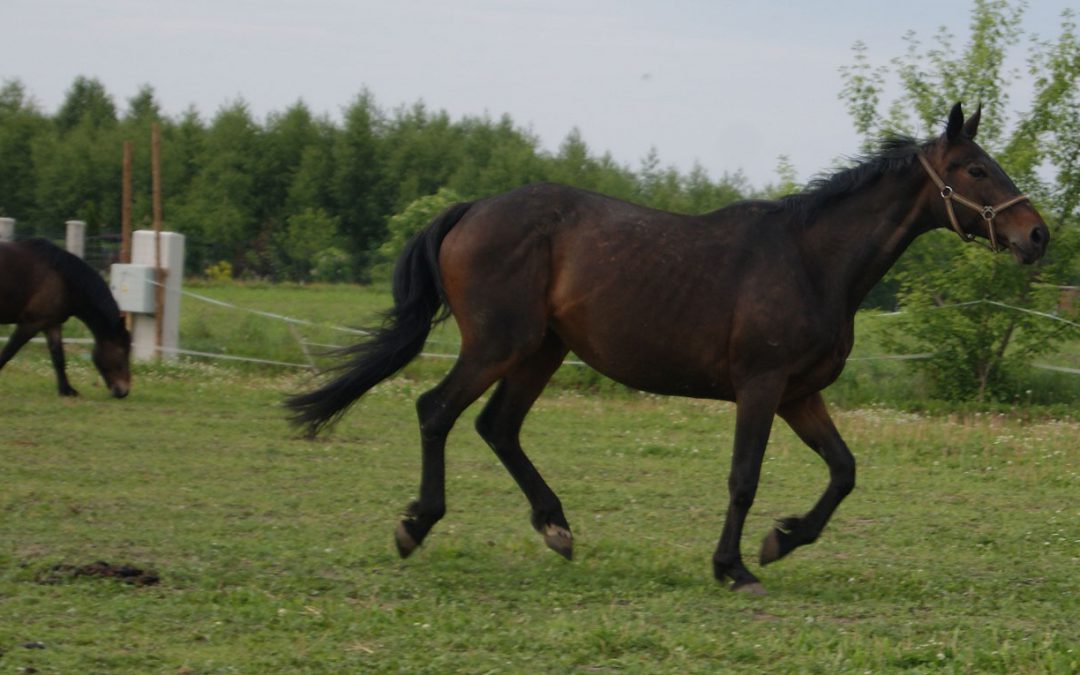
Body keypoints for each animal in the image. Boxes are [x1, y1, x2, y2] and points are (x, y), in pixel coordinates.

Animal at [0, 236, 131, 397]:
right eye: (122, 351)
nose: (123, 391)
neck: (62, 279)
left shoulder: (52, 324)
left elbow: (59, 358)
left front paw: (67, 390)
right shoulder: (30, 324)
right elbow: (8, 352)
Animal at [287, 102, 1045, 591]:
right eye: (976, 169)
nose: (1036, 234)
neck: (811, 258)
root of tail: (471, 209)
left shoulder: (800, 393)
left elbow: (844, 471)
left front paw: (781, 540)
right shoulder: (761, 387)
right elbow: (744, 477)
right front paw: (733, 567)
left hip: (540, 351)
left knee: (496, 425)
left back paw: (555, 527)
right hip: (498, 345)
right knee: (437, 410)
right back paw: (417, 524)